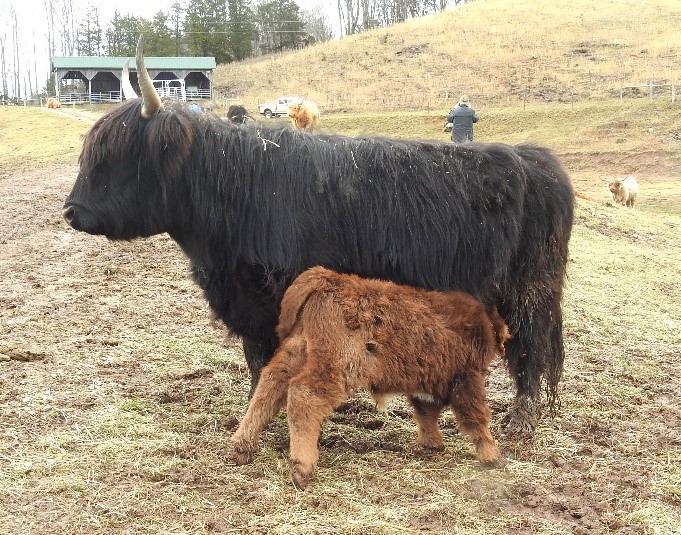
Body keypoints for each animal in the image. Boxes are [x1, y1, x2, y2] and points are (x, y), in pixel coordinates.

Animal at [63, 37, 572, 434]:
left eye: (116, 158)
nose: (71, 211)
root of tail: (536, 160)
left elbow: (271, 360)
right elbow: (256, 358)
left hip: (529, 290)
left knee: (531, 348)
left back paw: (521, 420)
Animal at [230, 266, 510, 490]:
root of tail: (327, 279)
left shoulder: (426, 384)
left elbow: (426, 413)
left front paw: (433, 445)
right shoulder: (468, 378)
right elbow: (475, 417)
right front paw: (492, 456)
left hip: (297, 350)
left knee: (271, 382)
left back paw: (241, 447)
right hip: (339, 368)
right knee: (302, 394)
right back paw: (302, 469)